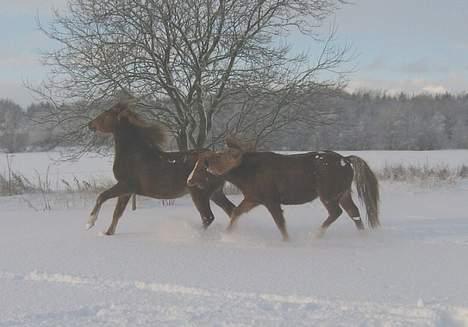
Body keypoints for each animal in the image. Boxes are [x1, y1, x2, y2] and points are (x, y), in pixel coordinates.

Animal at [85, 104, 234, 234]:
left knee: (208, 217)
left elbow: (102, 196)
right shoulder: (126, 192)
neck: (133, 155)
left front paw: (90, 222)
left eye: (106, 113)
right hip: (216, 193)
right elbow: (117, 213)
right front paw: (108, 233)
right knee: (231, 211)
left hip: (199, 193)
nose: (90, 124)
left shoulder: (125, 185)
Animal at [185, 138, 378, 241]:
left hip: (328, 196)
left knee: (336, 213)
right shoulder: (253, 199)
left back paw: (316, 235)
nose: (189, 180)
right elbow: (236, 213)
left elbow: (280, 223)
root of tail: (346, 159)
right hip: (343, 194)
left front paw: (288, 241)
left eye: (203, 166)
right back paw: (363, 236)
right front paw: (227, 235)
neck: (250, 171)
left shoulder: (271, 201)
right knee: (354, 212)